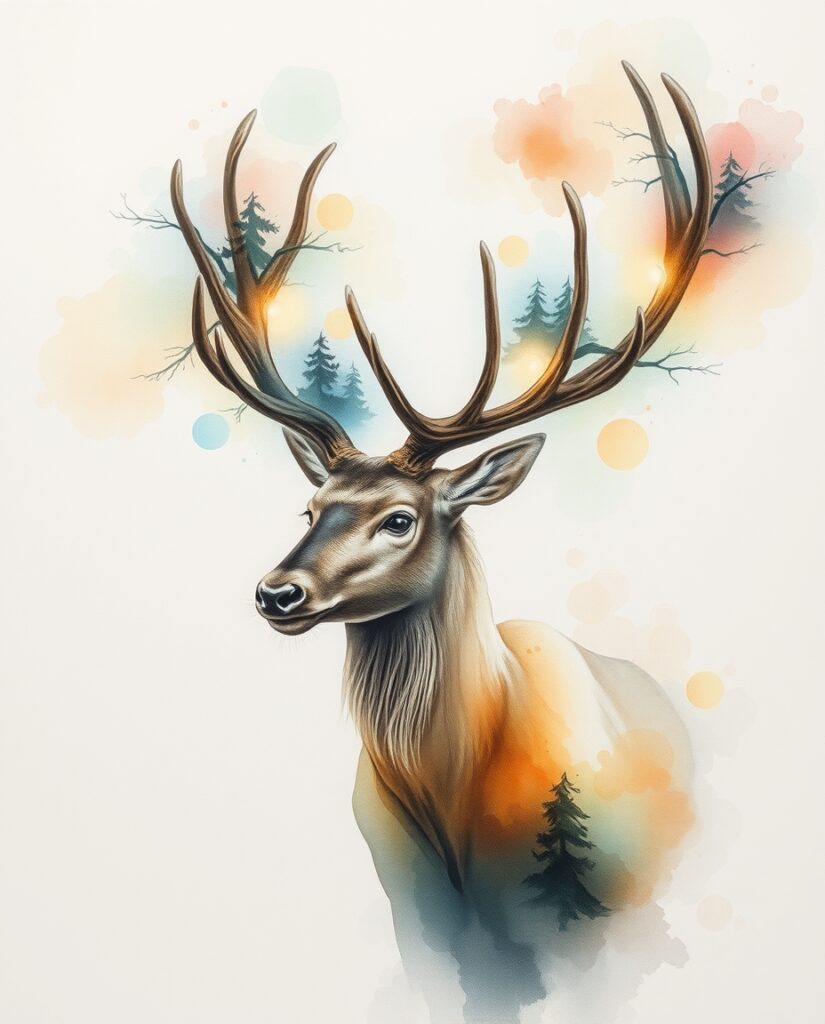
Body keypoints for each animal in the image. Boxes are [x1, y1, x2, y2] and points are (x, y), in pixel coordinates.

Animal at [169, 61, 711, 1023]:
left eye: (400, 517)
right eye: (309, 507)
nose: (277, 592)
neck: (453, 814)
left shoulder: (579, 923)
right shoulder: (417, 920)